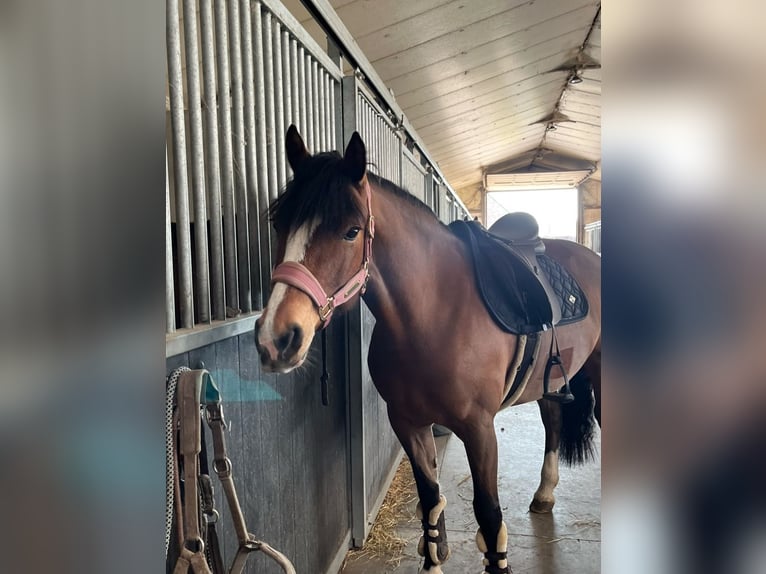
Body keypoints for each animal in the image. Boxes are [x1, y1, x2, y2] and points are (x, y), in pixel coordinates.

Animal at [254, 126, 601, 574]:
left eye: (351, 231)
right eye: (279, 222)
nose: (276, 338)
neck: (435, 316)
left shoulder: (479, 429)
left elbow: (489, 515)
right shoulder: (407, 423)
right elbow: (431, 500)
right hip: (552, 381)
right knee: (554, 422)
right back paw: (544, 494)